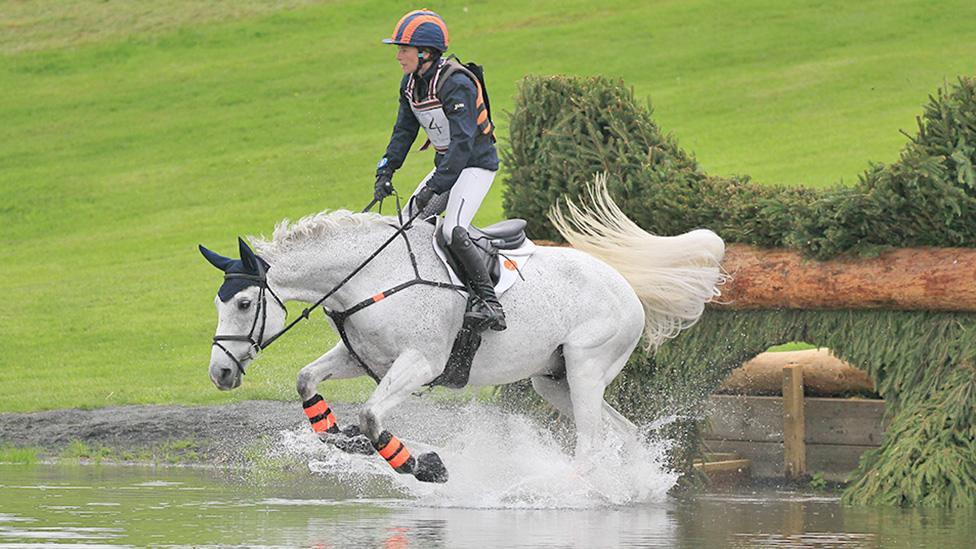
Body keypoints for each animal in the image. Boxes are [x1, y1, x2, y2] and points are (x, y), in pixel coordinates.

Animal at [200, 178, 724, 482]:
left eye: (244, 303)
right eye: (220, 303)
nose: (219, 374)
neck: (373, 275)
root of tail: (625, 283)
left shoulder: (421, 362)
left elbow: (371, 416)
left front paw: (421, 466)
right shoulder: (361, 357)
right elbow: (307, 381)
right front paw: (343, 439)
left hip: (587, 366)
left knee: (591, 445)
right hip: (554, 380)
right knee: (624, 433)